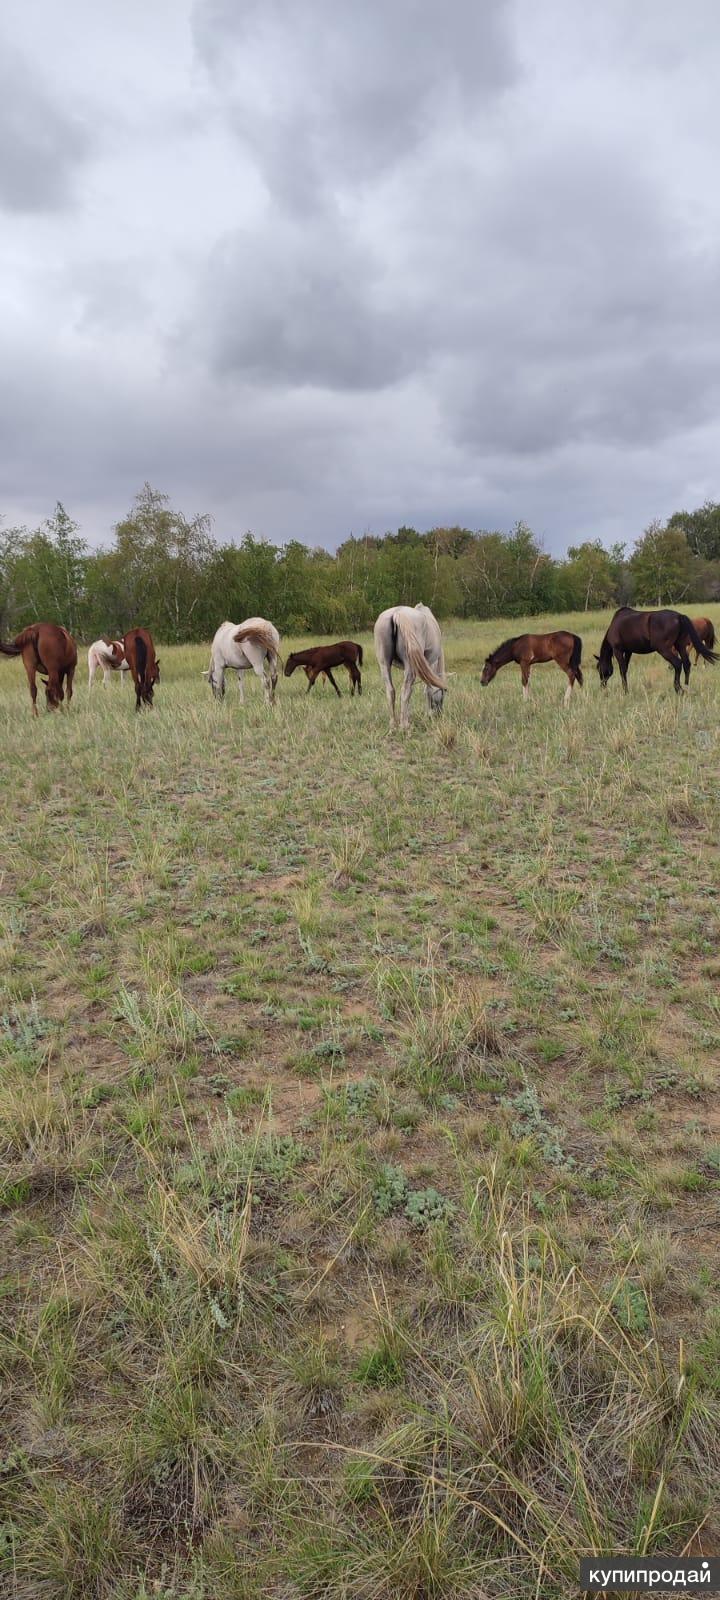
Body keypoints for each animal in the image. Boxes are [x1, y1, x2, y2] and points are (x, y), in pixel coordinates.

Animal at [374, 601, 448, 732]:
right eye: (442, 694)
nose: (439, 714)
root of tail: (396, 614)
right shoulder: (431, 663)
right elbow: (428, 690)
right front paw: (428, 714)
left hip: (384, 664)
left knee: (391, 691)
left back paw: (393, 725)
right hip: (410, 666)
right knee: (405, 691)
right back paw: (404, 726)